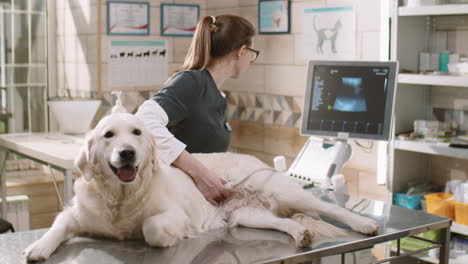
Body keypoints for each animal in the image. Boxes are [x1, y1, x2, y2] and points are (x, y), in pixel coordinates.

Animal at [23, 113, 378, 262]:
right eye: (108, 135)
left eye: (137, 132)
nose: (127, 153)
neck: (121, 198)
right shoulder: (76, 215)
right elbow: (57, 226)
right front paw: (38, 247)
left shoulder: (173, 214)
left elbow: (152, 227)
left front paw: (164, 237)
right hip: (246, 215)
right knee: (283, 222)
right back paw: (300, 233)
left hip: (281, 190)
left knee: (329, 208)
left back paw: (364, 224)